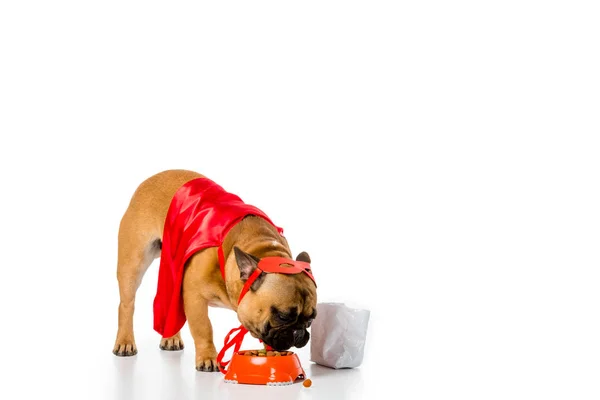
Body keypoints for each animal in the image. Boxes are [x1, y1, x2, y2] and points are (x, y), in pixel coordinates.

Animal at [113, 169, 318, 372]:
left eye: (311, 319)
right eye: (282, 316)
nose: (299, 332)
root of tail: (152, 178)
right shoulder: (194, 297)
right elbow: (204, 328)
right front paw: (207, 359)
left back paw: (171, 338)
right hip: (134, 262)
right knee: (127, 304)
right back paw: (125, 342)